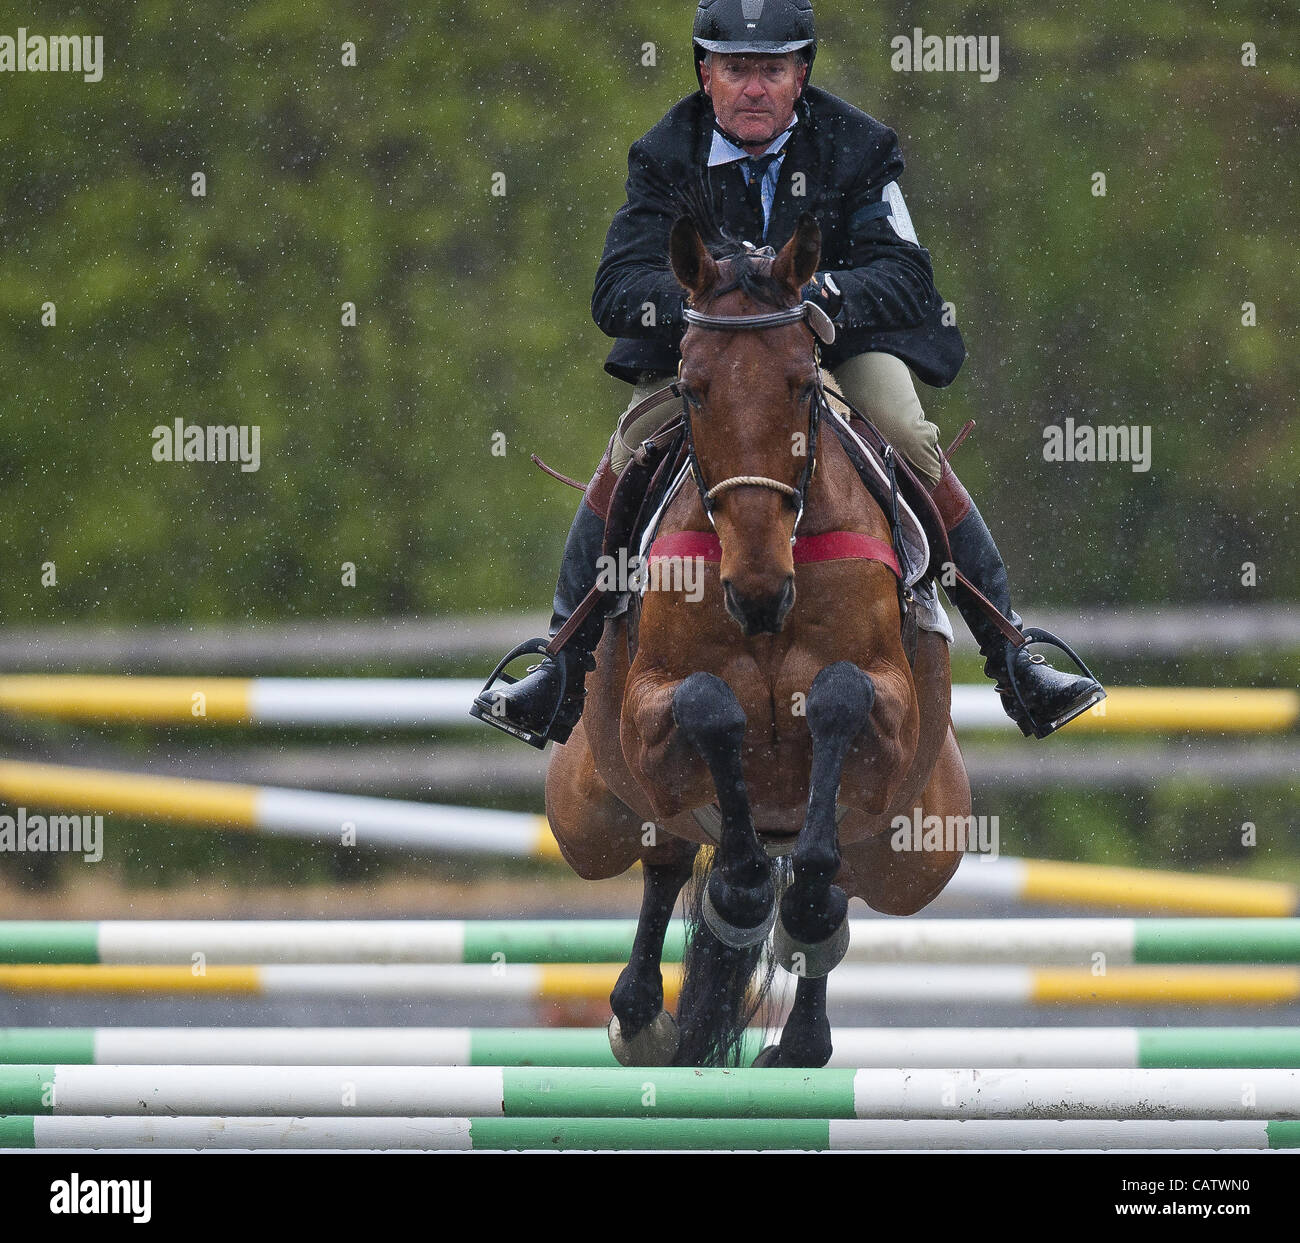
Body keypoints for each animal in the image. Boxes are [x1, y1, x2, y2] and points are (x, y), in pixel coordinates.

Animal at [543, 213, 972, 1066]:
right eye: (692, 388)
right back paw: (642, 1013)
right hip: (586, 813)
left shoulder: (895, 706)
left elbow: (839, 695)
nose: (759, 586)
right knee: (663, 853)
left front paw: (782, 903)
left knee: (835, 881)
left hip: (918, 850)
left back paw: (799, 1028)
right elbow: (710, 705)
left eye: (802, 384)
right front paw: (738, 894)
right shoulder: (646, 708)